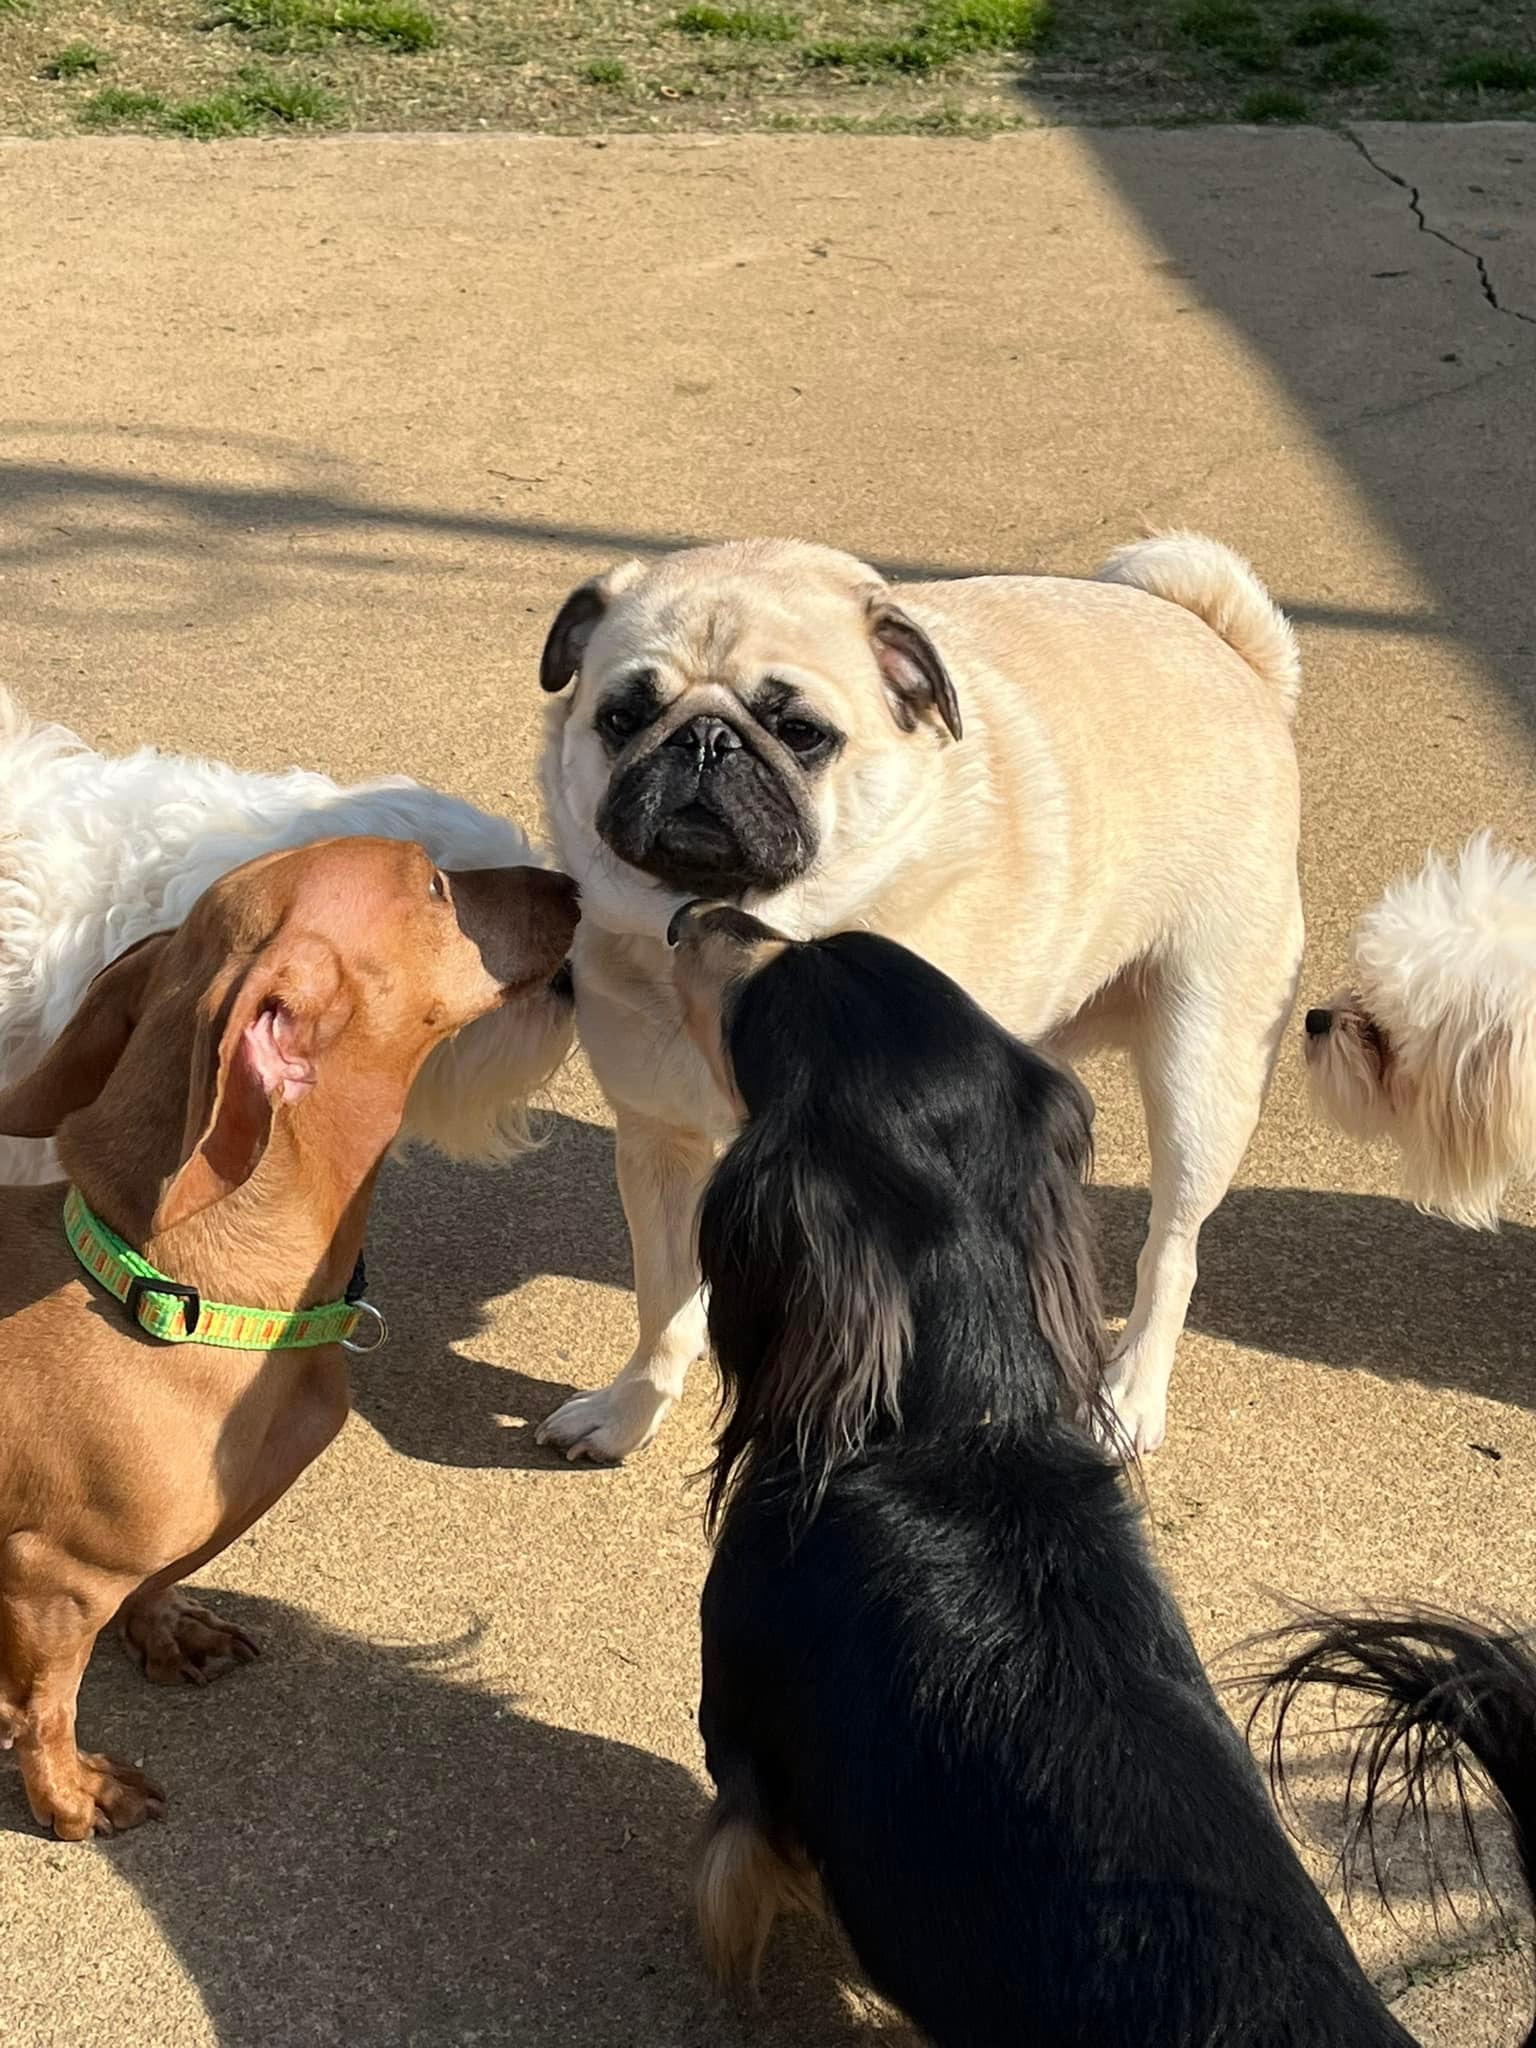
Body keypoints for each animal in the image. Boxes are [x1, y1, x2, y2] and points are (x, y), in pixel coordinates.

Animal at [0, 837, 577, 1838]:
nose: (576, 886)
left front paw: (168, 1630)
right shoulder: (51, 1581)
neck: (185, 1296)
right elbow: (49, 1707)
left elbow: (160, 1582)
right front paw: (70, 1794)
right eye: (436, 885)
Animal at [534, 531, 1303, 1463]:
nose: (707, 739)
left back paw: (1131, 1390)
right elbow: (664, 1306)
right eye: (621, 718)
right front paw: (631, 1411)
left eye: (801, 732)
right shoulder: (658, 1144)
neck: (750, 924)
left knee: (1173, 1248)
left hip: (1201, 1074)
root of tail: (1231, 652)